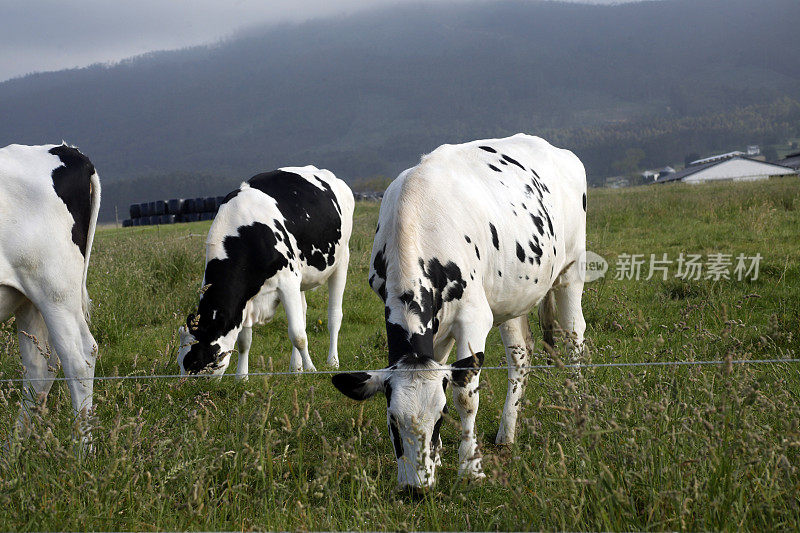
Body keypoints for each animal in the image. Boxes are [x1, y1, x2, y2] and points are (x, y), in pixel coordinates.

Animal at [0, 142, 102, 444]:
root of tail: (67, 149)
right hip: (28, 297)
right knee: (38, 367)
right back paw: (14, 449)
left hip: (54, 290)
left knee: (79, 358)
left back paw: (82, 447)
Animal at [181, 165, 356, 374]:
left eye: (199, 361)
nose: (183, 382)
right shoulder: (245, 298)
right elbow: (244, 341)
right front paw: (242, 377)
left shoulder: (287, 281)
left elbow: (298, 335)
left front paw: (312, 369)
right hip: (301, 277)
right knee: (302, 314)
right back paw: (295, 368)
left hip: (341, 260)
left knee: (334, 316)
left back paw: (332, 362)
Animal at [332, 135, 588, 488]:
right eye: (392, 423)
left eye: (440, 418)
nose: (415, 489)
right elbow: (441, 366)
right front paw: (438, 459)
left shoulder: (473, 317)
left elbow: (466, 396)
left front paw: (470, 467)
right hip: (512, 294)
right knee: (521, 353)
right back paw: (506, 434)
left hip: (571, 270)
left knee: (575, 337)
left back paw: (576, 411)